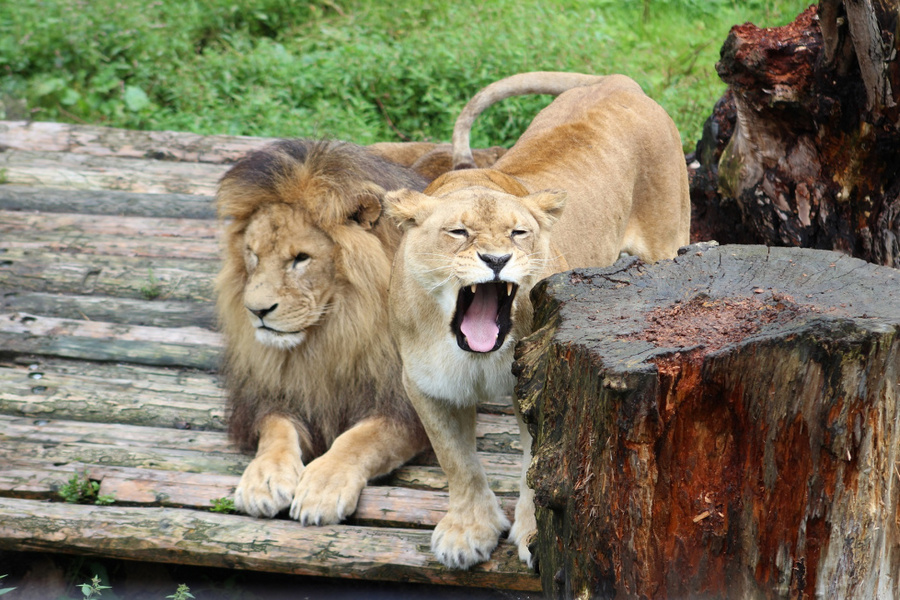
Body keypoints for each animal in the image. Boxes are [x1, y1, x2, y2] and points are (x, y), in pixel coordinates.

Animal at [216, 141, 434, 524]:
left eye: (301, 258)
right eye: (252, 254)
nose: (256, 311)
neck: (336, 331)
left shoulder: (406, 405)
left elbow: (362, 439)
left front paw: (323, 487)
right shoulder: (272, 395)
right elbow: (275, 430)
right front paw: (263, 479)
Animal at [384, 72, 688, 568]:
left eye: (518, 233)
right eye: (459, 232)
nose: (496, 259)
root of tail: (616, 80)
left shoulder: (539, 381)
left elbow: (536, 465)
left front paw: (531, 536)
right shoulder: (426, 384)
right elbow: (456, 460)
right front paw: (467, 532)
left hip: (669, 239)